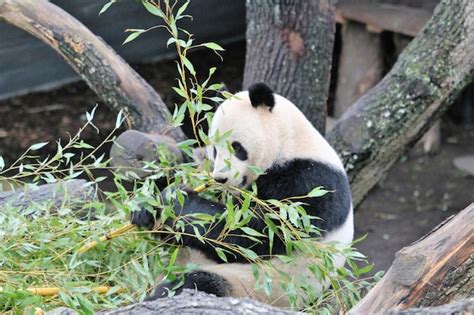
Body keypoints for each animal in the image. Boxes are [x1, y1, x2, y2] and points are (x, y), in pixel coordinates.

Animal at [131, 82, 354, 308]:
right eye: (214, 150)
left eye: (236, 147)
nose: (220, 178)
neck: (289, 143)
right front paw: (146, 206)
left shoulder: (310, 184)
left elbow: (256, 233)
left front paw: (175, 201)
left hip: (253, 286)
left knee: (195, 284)